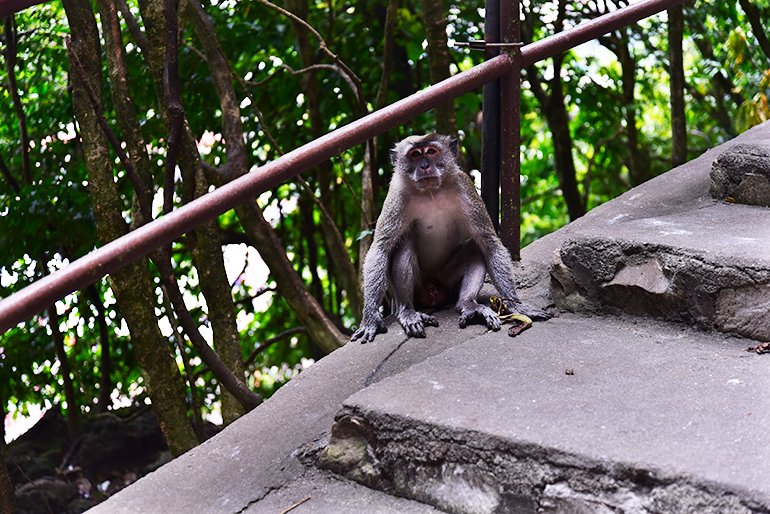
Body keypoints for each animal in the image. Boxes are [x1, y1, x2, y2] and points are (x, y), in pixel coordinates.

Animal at [352, 132, 548, 342]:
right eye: (414, 155)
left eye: (431, 152)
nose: (424, 166)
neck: (431, 192)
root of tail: (433, 292)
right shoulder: (397, 195)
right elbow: (380, 248)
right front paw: (370, 318)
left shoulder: (464, 186)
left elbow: (489, 243)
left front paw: (515, 305)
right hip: (419, 288)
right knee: (404, 245)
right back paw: (407, 311)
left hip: (446, 281)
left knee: (475, 248)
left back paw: (468, 305)